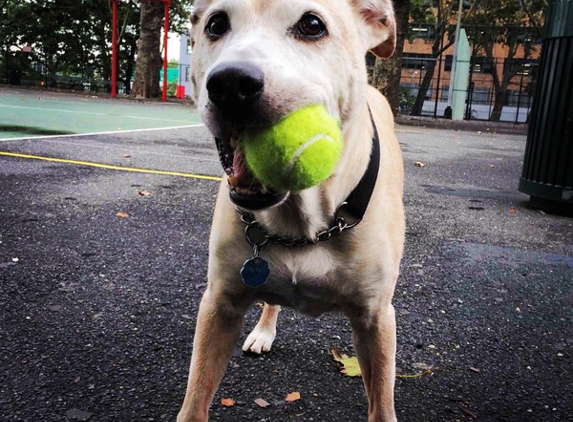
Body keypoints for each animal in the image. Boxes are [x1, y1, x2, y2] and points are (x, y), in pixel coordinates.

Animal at [177, 1, 404, 420]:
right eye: (216, 24)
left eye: (312, 24)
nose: (231, 84)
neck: (305, 219)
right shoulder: (219, 305)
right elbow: (195, 399)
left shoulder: (375, 318)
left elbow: (382, 403)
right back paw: (263, 331)